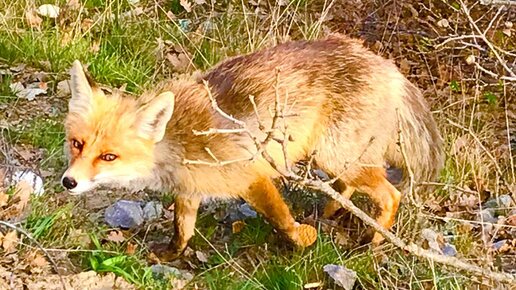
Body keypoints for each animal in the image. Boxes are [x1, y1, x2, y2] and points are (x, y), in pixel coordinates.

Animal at [61, 33, 444, 260]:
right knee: (351, 188)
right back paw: (331, 211)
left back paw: (374, 241)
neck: (179, 141)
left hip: (337, 156)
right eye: (77, 144)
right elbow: (183, 228)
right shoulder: (190, 188)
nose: (68, 182)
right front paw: (171, 255)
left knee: (391, 195)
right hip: (337, 158)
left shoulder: (251, 176)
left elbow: (282, 218)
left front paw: (302, 240)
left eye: (108, 156)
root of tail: (387, 66)